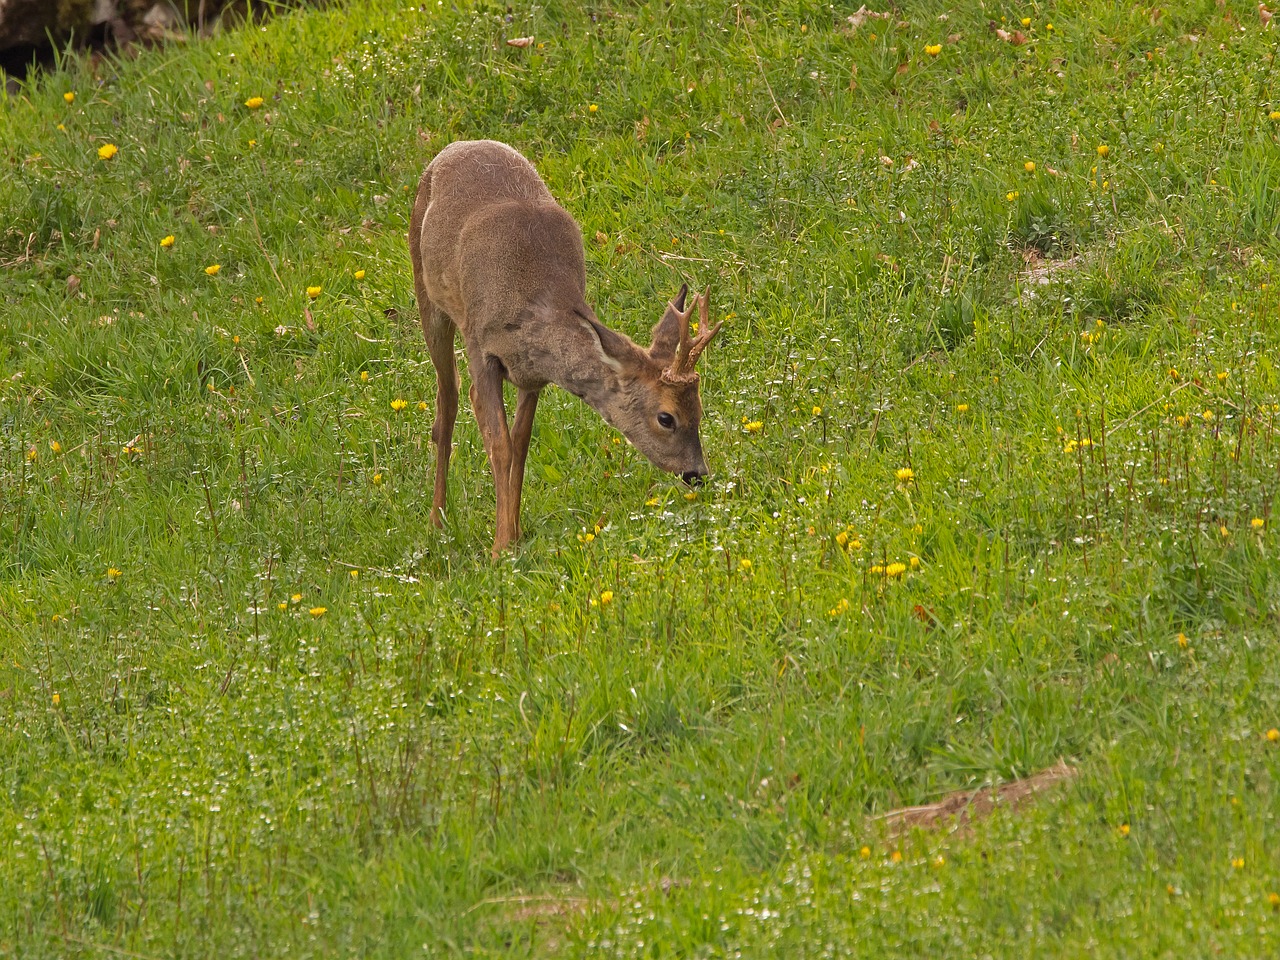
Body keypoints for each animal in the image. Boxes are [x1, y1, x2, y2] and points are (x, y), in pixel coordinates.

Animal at [414, 136, 727, 555]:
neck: (535, 307)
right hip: (429, 295)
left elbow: (520, 444)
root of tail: (455, 146)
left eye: (699, 408)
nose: (698, 474)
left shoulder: (532, 376)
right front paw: (500, 548)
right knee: (447, 401)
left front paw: (514, 534)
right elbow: (499, 445)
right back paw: (437, 520)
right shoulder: (481, 345)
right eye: (666, 418)